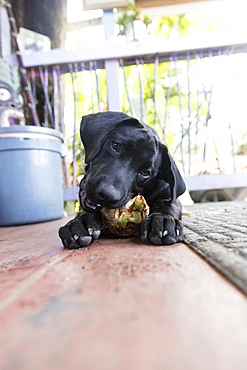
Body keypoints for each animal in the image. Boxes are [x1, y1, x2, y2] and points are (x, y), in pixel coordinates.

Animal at [58, 110, 185, 249]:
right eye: (115, 145)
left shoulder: (169, 195)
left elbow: (166, 204)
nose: (107, 195)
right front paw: (79, 222)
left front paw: (162, 219)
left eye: (145, 173)